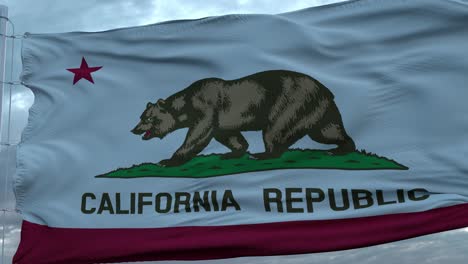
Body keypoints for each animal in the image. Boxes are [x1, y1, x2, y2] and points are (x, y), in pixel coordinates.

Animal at [131, 69, 354, 166]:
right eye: (141, 116)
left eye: (148, 118)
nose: (134, 129)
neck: (186, 103)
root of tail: (325, 90)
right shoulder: (222, 120)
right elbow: (228, 135)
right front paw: (233, 152)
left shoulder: (207, 107)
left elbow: (197, 134)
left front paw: (168, 160)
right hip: (319, 111)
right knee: (327, 131)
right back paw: (340, 148)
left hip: (291, 102)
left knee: (276, 130)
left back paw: (263, 154)